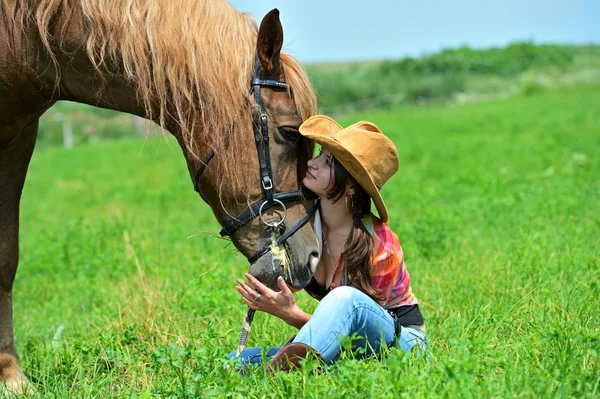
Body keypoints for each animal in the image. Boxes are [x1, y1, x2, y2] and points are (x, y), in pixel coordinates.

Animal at [0, 0, 322, 394]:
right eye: (290, 132)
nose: (312, 258)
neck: (24, 36)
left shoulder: (18, 137)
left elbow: (6, 256)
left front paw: (10, 376)